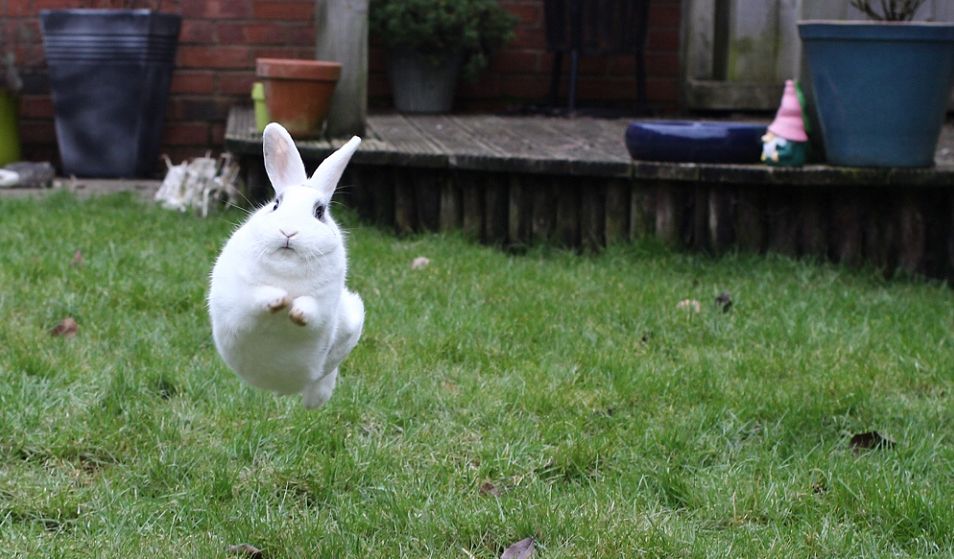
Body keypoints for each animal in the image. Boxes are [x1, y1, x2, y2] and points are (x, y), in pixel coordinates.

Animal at [208, 123, 364, 406]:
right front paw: (279, 300)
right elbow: (257, 299)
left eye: (319, 212)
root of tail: (281, 388)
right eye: (276, 204)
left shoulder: (322, 307)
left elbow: (310, 311)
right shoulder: (240, 303)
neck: (287, 269)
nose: (288, 232)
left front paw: (296, 311)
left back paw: (315, 402)